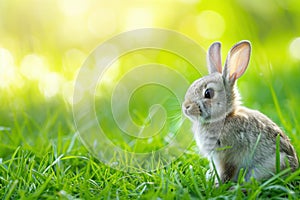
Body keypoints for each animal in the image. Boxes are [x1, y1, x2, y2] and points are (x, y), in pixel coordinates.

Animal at [183, 39, 298, 184]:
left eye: (208, 93)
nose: (185, 107)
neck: (224, 117)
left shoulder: (227, 156)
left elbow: (226, 172)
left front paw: (218, 185)